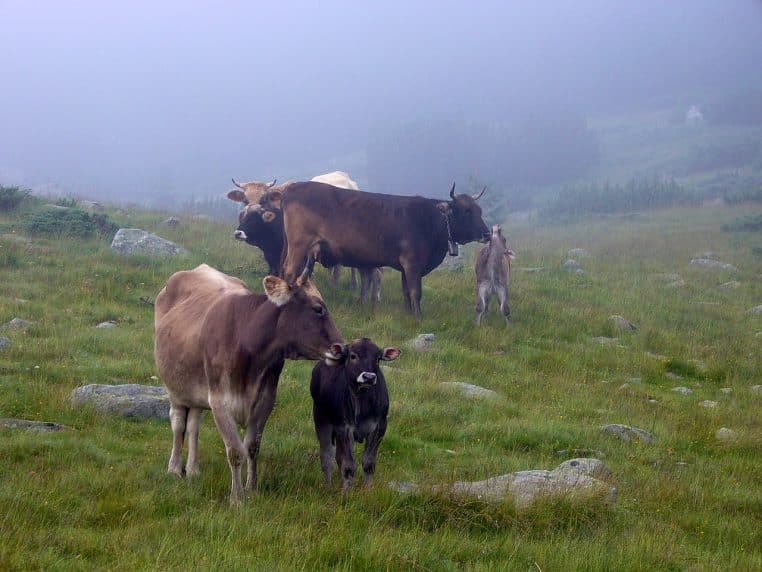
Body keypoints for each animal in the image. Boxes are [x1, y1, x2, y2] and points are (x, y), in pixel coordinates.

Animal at [154, 262, 344, 505]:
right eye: (318, 308)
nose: (342, 348)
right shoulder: (220, 401)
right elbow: (235, 451)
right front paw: (236, 497)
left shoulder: (265, 401)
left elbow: (252, 447)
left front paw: (251, 488)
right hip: (176, 388)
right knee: (178, 424)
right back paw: (175, 469)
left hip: (197, 391)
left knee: (194, 425)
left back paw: (194, 469)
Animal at [276, 181, 491, 316]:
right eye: (467, 211)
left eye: (480, 211)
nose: (487, 233)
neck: (429, 221)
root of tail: (292, 188)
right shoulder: (412, 263)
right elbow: (416, 292)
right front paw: (419, 317)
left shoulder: (405, 267)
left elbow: (406, 292)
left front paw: (408, 314)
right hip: (299, 245)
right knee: (290, 271)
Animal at [310, 338, 400, 491]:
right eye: (353, 356)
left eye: (377, 358)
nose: (368, 377)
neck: (363, 403)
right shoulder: (344, 427)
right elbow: (348, 465)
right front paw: (346, 492)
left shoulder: (380, 426)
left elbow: (368, 463)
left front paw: (368, 490)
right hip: (321, 418)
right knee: (327, 455)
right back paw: (328, 486)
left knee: (337, 457)